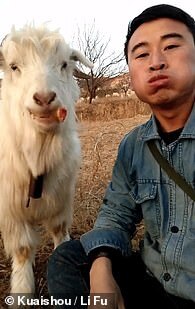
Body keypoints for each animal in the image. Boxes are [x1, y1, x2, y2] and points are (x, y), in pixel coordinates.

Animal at [0, 24, 92, 294]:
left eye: (64, 64)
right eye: (14, 67)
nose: (44, 98)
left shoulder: (61, 197)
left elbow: (59, 230)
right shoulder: (11, 210)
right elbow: (22, 249)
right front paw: (22, 291)